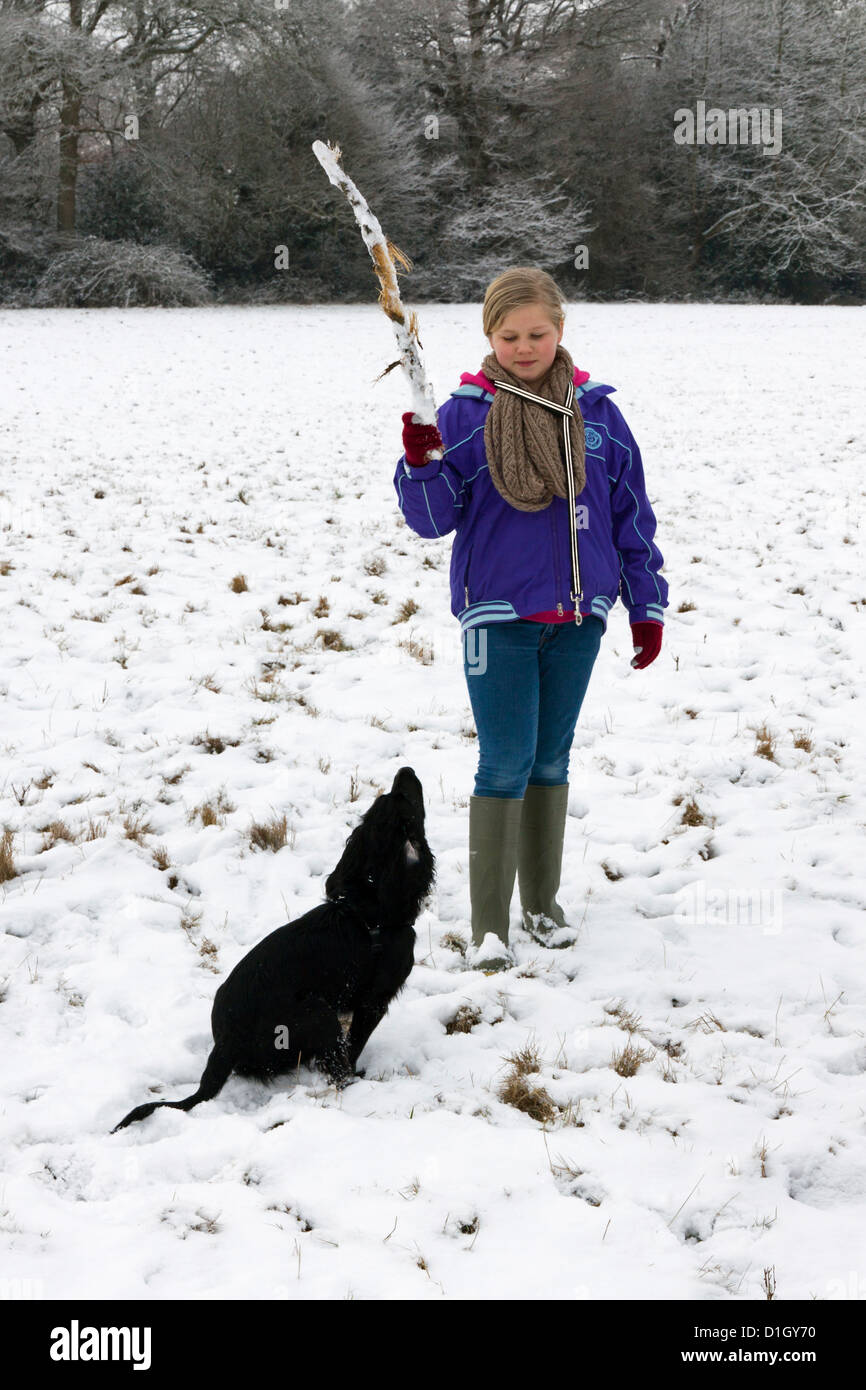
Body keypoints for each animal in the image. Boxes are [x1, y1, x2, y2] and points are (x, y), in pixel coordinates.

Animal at [115, 767, 436, 1134]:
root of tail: (225, 1045)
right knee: (336, 1067)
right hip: (317, 1012)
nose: (406, 770)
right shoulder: (373, 1001)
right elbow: (354, 1043)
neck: (366, 911)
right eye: (407, 801)